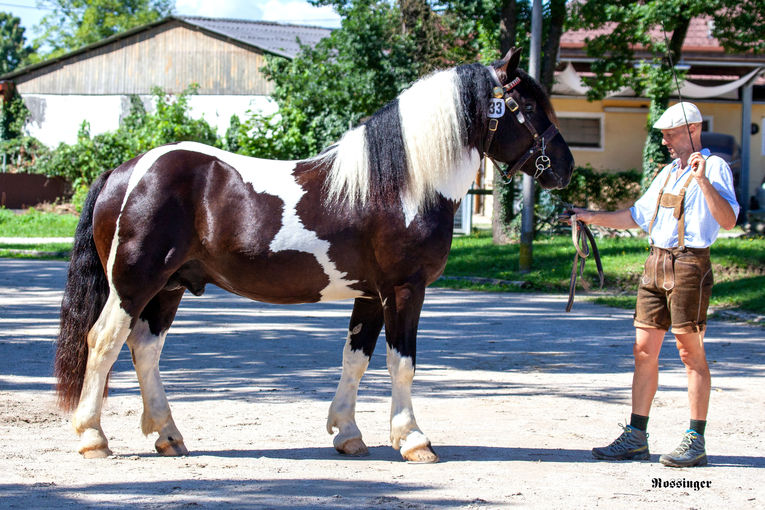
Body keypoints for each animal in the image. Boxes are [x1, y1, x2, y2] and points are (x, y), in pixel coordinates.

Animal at [55, 47, 572, 462]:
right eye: (528, 106)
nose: (565, 167)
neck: (400, 187)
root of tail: (125, 171)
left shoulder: (371, 295)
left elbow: (356, 359)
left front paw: (347, 433)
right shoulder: (405, 290)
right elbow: (401, 363)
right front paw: (413, 440)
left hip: (170, 288)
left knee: (145, 349)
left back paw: (169, 435)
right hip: (133, 284)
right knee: (103, 342)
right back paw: (93, 439)